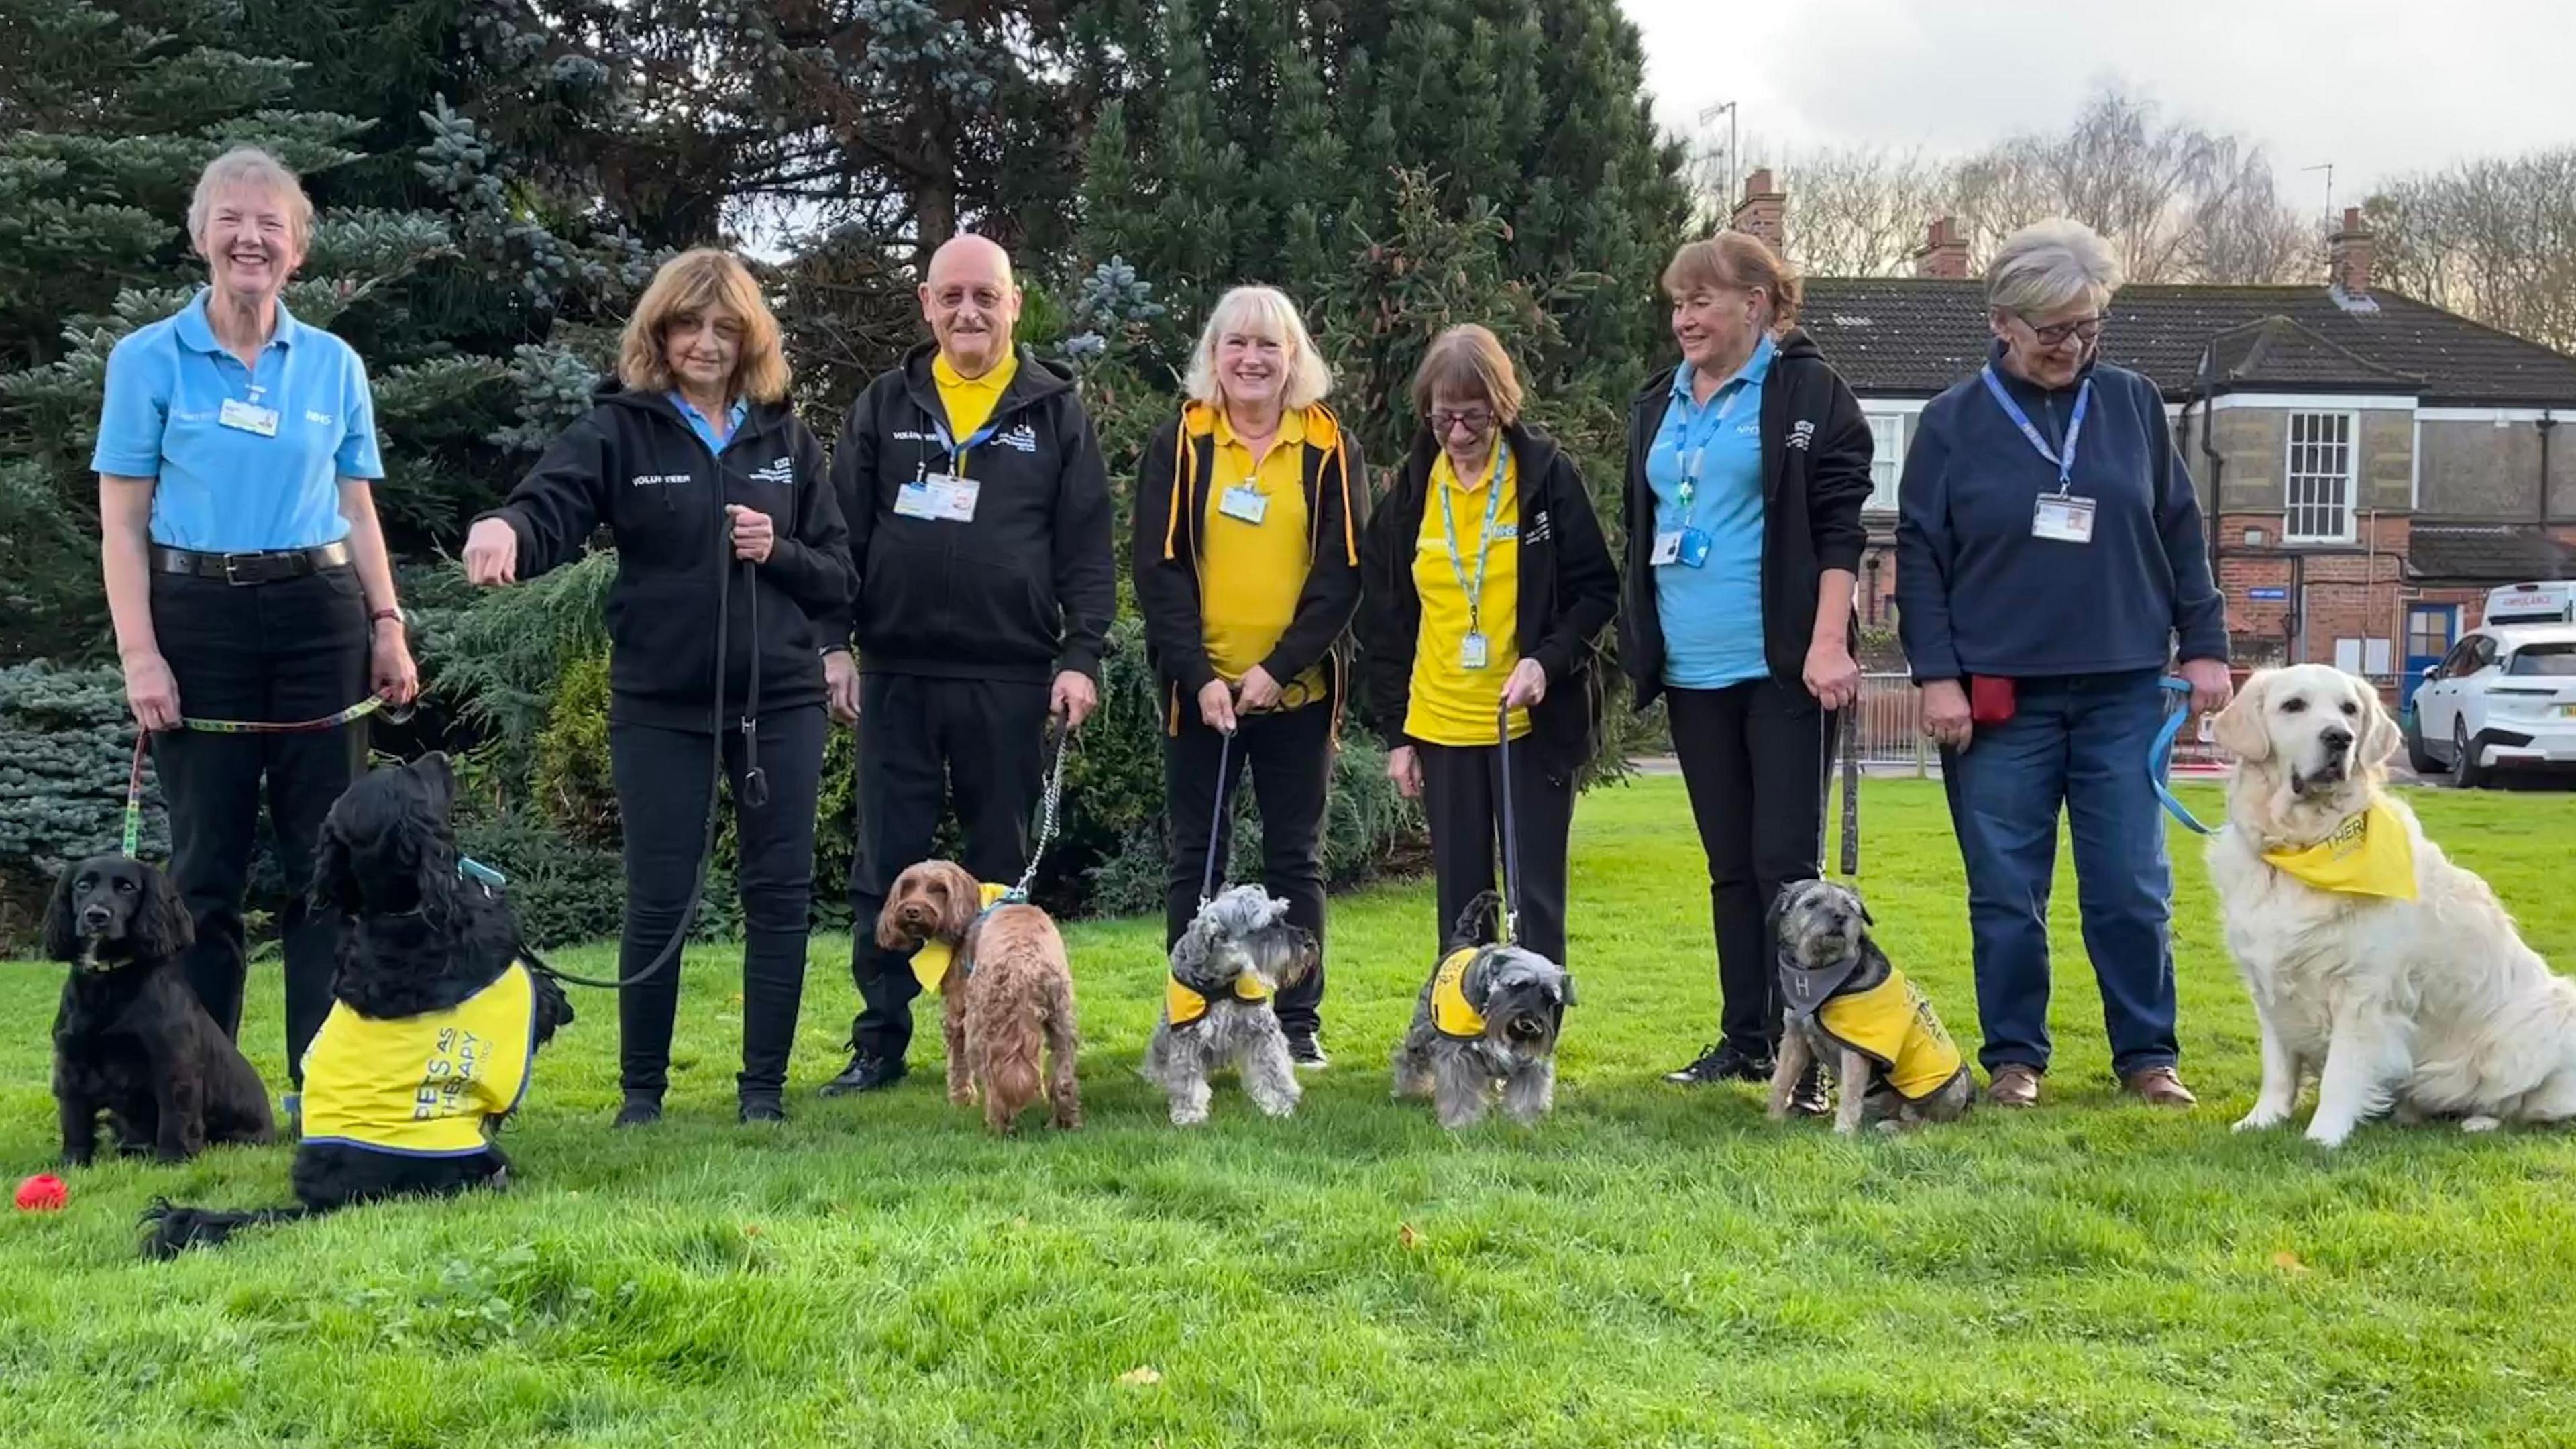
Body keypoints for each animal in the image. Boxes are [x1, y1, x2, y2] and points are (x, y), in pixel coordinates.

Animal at [881, 856, 1081, 1129]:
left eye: (939, 889)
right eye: (908, 886)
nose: (912, 910)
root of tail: (1025, 967)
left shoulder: (957, 1010)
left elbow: (957, 1062)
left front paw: (960, 1100)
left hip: (981, 1025)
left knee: (994, 1078)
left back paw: (996, 1124)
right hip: (1061, 1020)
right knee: (1063, 1079)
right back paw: (1065, 1123)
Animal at [1138, 881, 1319, 1129]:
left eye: (1282, 916)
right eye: (1268, 924)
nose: (1310, 943)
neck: (1222, 979)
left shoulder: (1261, 1031)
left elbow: (1273, 1068)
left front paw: (1281, 1103)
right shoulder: (1187, 1038)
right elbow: (1186, 1079)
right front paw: (1189, 1113)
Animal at [1401, 892, 1576, 1129]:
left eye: (1549, 997)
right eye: (1518, 986)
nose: (1529, 1025)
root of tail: (1460, 943)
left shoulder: (1528, 1061)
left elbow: (1528, 1094)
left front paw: (1524, 1123)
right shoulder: (1458, 1057)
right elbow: (1460, 1092)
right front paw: (1460, 1123)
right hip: (1422, 1032)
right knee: (1406, 1058)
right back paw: (1409, 1091)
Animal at [1772, 876, 1968, 1134]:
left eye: (1849, 906)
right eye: (1811, 903)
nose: (1840, 917)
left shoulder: (1855, 1052)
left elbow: (1851, 1095)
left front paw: (1843, 1132)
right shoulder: (1794, 1038)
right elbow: (1781, 1079)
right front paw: (1773, 1118)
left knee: (1922, 1124)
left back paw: (1892, 1126)